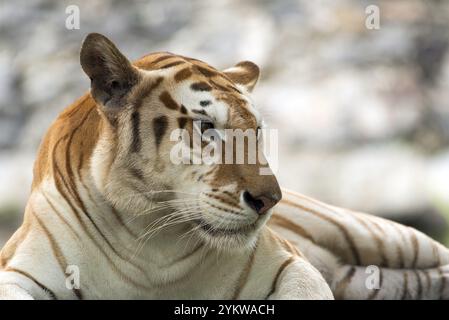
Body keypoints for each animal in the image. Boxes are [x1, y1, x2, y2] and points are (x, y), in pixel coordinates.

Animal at [0, 33, 446, 300]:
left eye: (257, 131)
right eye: (207, 127)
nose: (270, 201)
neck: (148, 235)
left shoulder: (289, 264)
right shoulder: (19, 271)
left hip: (378, 234)